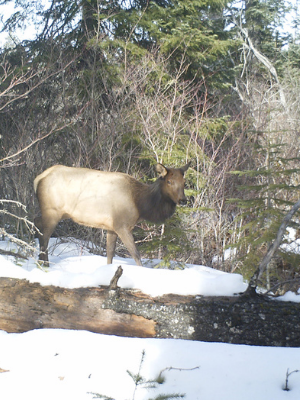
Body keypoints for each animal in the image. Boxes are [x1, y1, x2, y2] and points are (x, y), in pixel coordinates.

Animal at [34, 162, 190, 266]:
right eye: (169, 181)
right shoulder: (122, 225)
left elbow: (110, 254)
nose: (183, 200)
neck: (140, 205)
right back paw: (44, 264)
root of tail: (38, 179)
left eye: (184, 182)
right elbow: (136, 255)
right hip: (52, 211)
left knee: (37, 225)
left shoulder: (111, 227)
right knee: (44, 236)